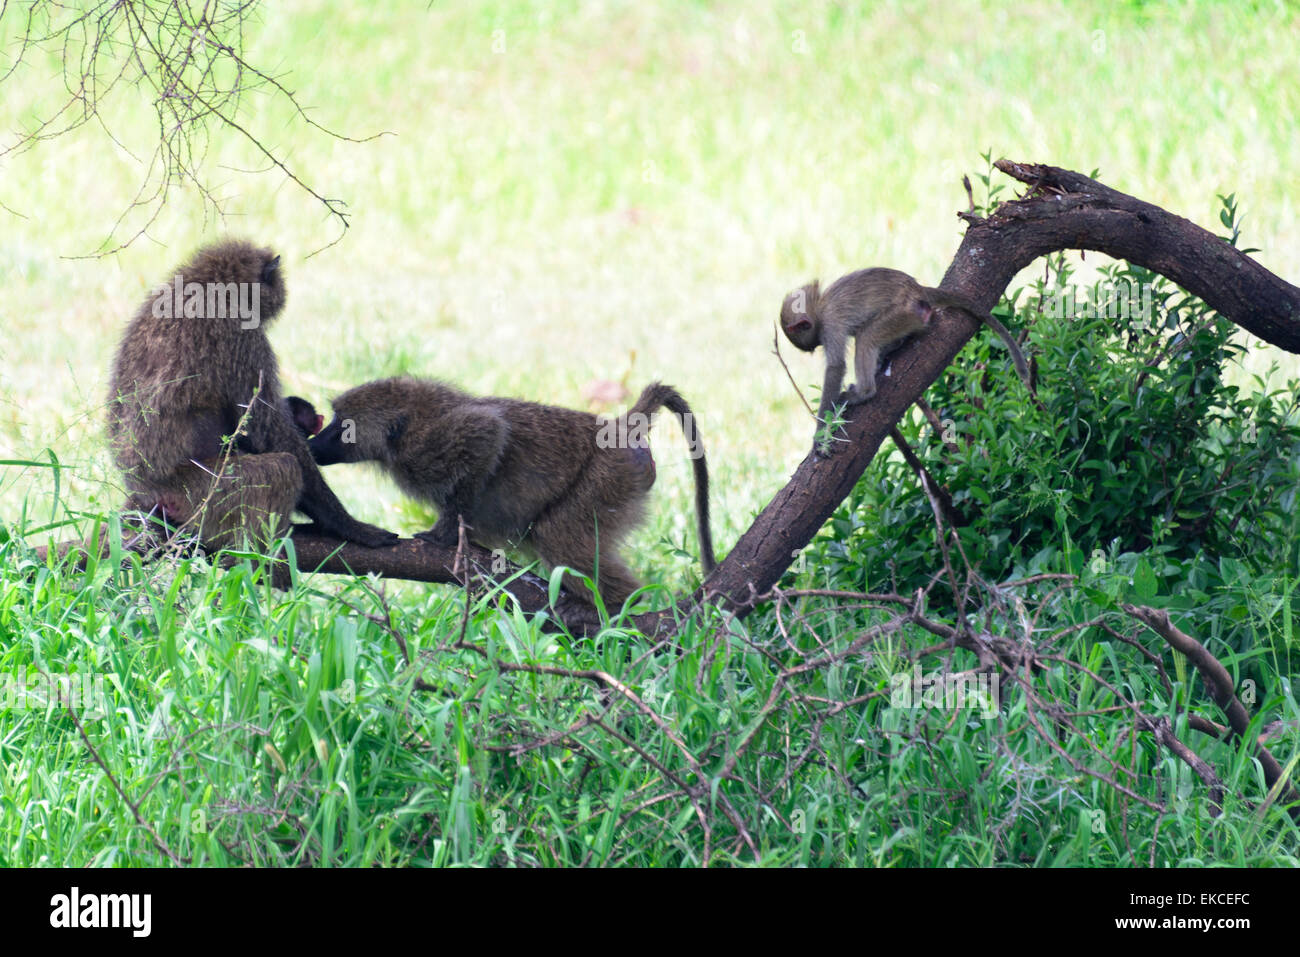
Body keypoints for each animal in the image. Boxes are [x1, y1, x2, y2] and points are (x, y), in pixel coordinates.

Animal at [106, 238, 399, 554]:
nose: (283, 294)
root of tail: (147, 492)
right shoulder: (242, 337)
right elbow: (269, 434)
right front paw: (348, 525)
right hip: (202, 496)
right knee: (283, 468)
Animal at [307, 377, 716, 606]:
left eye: (342, 424)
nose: (313, 444)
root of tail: (620, 428)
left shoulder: (429, 447)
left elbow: (487, 431)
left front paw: (444, 535)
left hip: (608, 478)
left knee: (560, 540)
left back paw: (622, 617)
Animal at [780, 267, 1036, 450]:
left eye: (809, 342)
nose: (812, 347)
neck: (818, 306)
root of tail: (919, 290)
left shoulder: (830, 324)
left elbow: (835, 367)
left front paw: (820, 435)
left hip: (903, 312)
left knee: (866, 337)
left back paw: (865, 392)